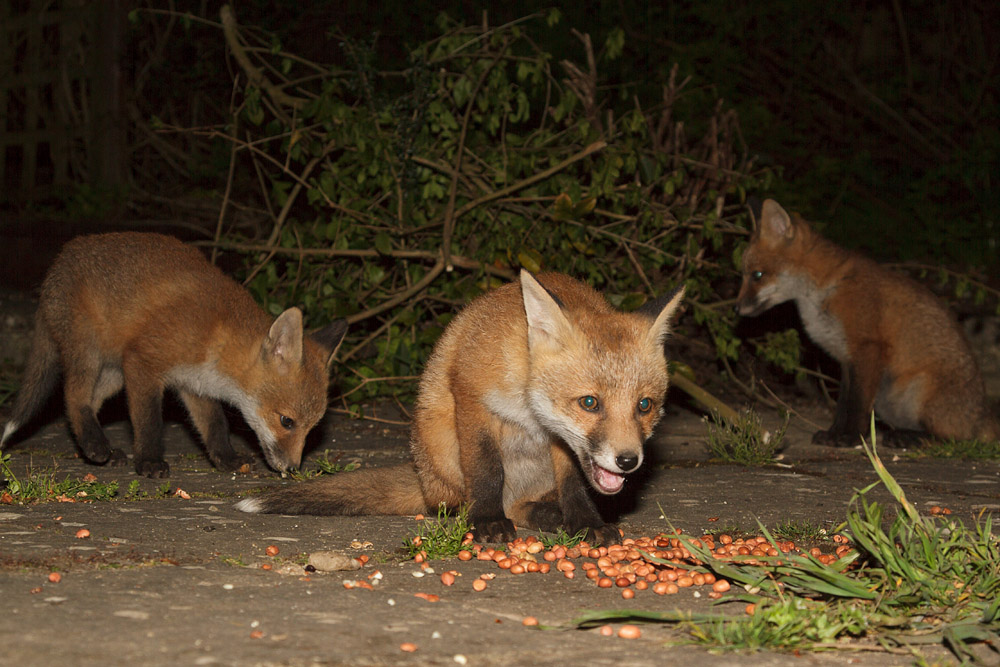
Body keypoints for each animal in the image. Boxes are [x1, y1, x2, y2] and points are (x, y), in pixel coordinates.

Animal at [0, 232, 348, 478]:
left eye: (313, 427)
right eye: (287, 421)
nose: (292, 469)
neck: (217, 338)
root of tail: (58, 262)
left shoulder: (194, 385)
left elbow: (215, 425)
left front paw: (226, 459)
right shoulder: (143, 362)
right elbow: (149, 421)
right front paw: (149, 461)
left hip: (113, 375)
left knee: (91, 401)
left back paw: (103, 451)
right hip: (90, 353)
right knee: (73, 397)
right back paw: (97, 445)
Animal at [237, 270, 684, 544]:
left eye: (645, 405)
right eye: (590, 403)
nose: (628, 460)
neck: (528, 402)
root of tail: (422, 477)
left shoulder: (561, 440)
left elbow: (574, 481)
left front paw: (586, 523)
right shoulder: (471, 396)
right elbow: (486, 470)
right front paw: (485, 521)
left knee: (520, 505)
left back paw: (548, 516)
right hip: (439, 443)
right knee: (459, 498)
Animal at [736, 198, 999, 447]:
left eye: (757, 275)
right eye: (744, 275)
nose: (736, 308)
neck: (824, 291)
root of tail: (984, 414)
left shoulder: (867, 348)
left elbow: (858, 405)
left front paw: (851, 438)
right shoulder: (846, 358)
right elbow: (843, 406)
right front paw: (835, 434)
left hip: (919, 391)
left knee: (956, 439)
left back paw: (910, 438)